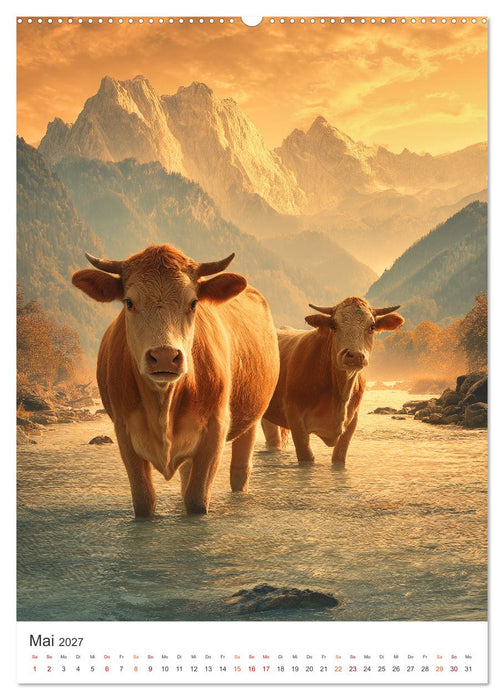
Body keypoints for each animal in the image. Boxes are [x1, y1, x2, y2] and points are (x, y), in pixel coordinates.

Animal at [72, 244, 280, 517]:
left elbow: (197, 501)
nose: (164, 356)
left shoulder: (215, 429)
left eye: (193, 303)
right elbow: (144, 501)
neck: (163, 404)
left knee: (240, 470)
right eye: (129, 302)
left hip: (252, 419)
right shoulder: (124, 430)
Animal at [261, 297, 404, 466]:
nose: (354, 355)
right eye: (334, 325)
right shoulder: (295, 418)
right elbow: (306, 458)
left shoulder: (352, 421)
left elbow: (339, 456)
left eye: (372, 326)